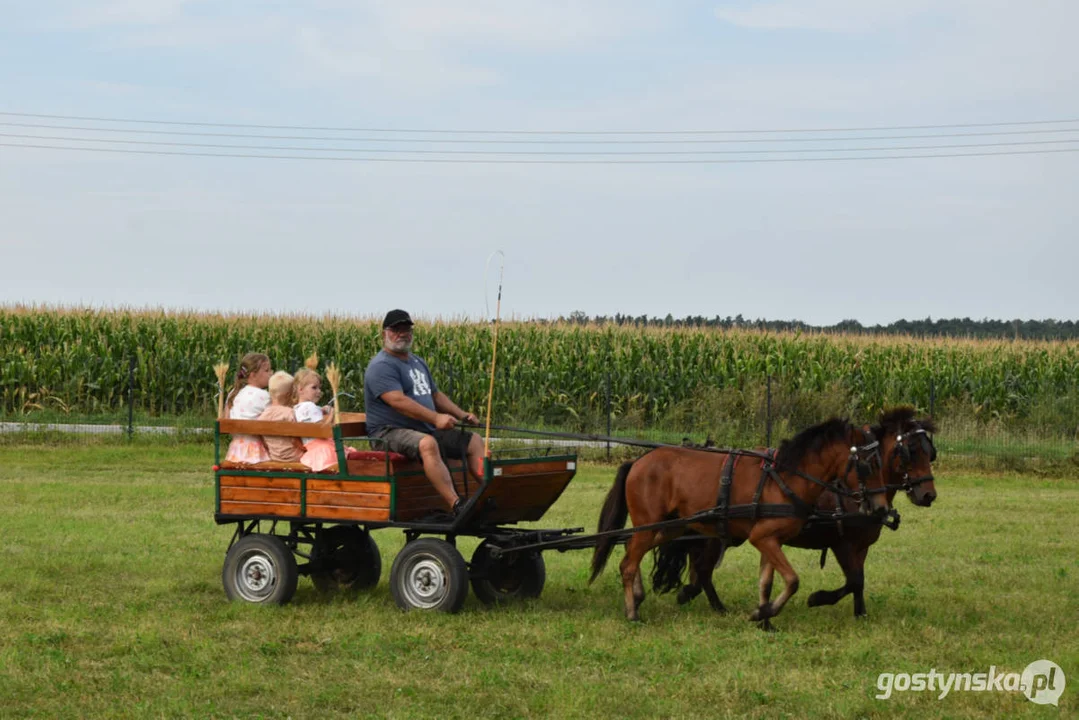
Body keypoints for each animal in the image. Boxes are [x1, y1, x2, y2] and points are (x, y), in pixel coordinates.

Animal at [591, 418, 884, 626]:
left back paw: (637, 597)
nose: (881, 508)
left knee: (629, 550)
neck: (786, 477)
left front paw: (763, 617)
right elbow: (792, 580)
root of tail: (637, 461)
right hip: (651, 524)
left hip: (669, 527)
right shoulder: (762, 538)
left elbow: (766, 582)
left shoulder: (771, 541)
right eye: (868, 466)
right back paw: (632, 613)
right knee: (628, 563)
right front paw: (768, 612)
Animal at [660, 405, 932, 621]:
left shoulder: (861, 546)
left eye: (930, 452)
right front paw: (817, 598)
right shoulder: (841, 543)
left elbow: (859, 581)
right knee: (703, 569)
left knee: (699, 566)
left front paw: (860, 613)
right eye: (911, 451)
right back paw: (704, 601)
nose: (929, 495)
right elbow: (854, 580)